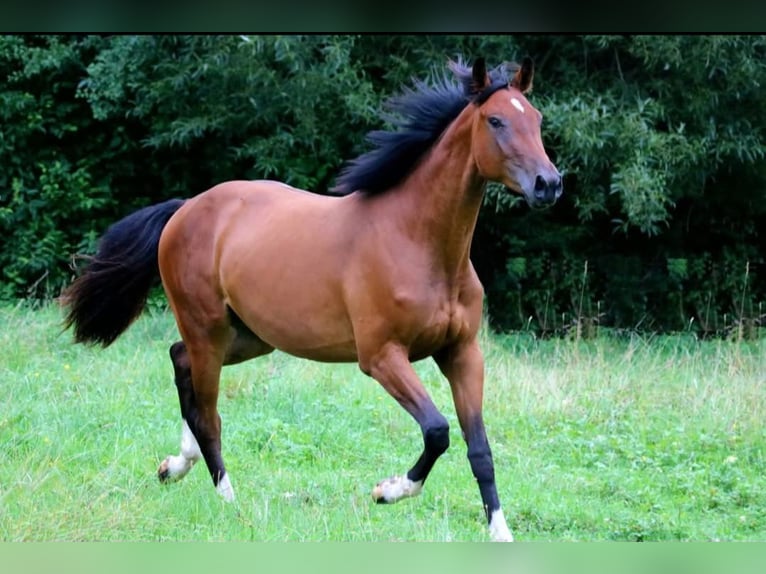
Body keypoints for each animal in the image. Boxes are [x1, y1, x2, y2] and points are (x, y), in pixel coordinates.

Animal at [61, 56, 562, 542]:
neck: (418, 243)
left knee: (181, 363)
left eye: (536, 118)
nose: (549, 184)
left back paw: (174, 466)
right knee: (208, 413)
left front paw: (500, 533)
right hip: (208, 329)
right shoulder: (382, 357)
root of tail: (184, 210)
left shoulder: (462, 354)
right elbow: (437, 431)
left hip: (247, 337)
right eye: (495, 120)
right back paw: (229, 502)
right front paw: (387, 491)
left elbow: (480, 448)